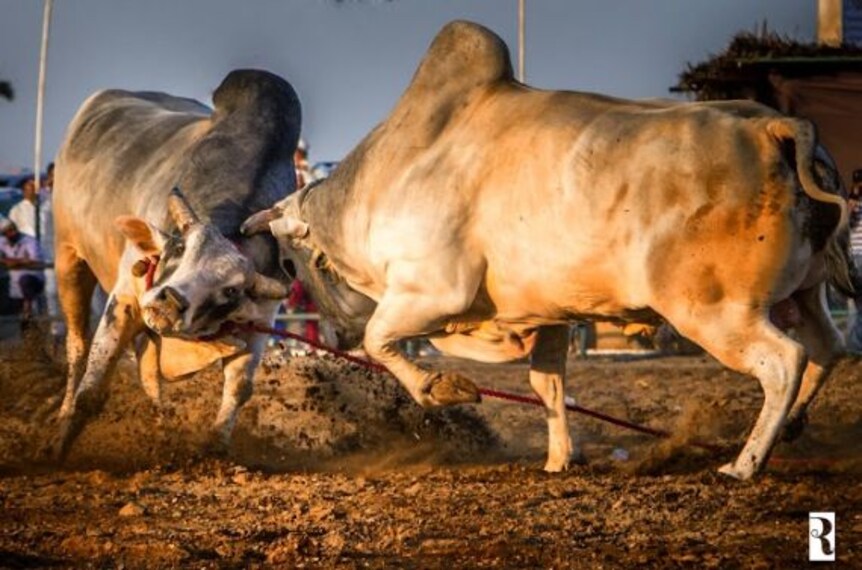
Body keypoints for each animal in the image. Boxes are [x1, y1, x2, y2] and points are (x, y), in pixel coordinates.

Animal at [48, 69, 298, 460]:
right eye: (179, 247)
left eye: (231, 290)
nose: (170, 301)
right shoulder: (126, 300)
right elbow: (92, 391)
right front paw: (60, 449)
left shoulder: (259, 321)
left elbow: (238, 391)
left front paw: (212, 450)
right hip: (68, 258)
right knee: (77, 350)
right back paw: (63, 415)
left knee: (149, 374)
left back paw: (161, 427)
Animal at [242, 22, 854, 481]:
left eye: (290, 262)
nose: (333, 333)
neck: (387, 176)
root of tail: (776, 127)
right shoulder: (554, 312)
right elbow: (547, 384)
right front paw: (562, 458)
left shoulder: (431, 293)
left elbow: (381, 341)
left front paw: (443, 388)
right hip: (805, 290)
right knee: (828, 347)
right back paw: (791, 427)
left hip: (714, 309)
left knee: (784, 362)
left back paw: (744, 464)